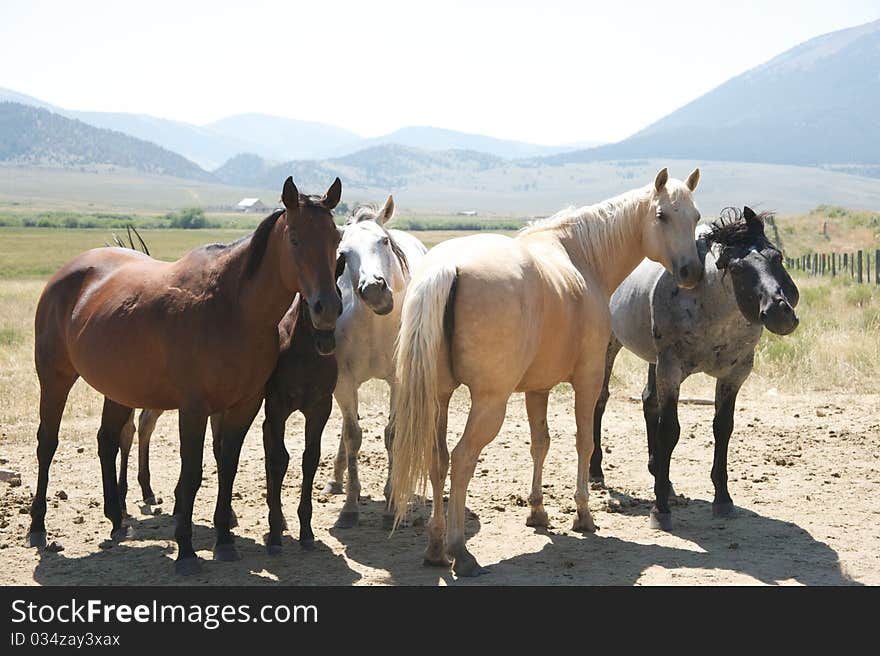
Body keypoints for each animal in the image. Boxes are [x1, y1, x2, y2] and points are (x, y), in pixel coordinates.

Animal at [27, 176, 344, 576]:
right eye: (295, 239)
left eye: (336, 238)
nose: (327, 308)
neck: (231, 308)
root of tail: (68, 273)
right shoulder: (194, 409)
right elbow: (191, 474)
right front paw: (187, 552)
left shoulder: (244, 407)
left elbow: (227, 467)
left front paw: (224, 540)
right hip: (54, 378)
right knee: (47, 444)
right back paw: (38, 528)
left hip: (118, 388)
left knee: (107, 440)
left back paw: (118, 520)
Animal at [322, 197, 428, 532]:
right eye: (343, 254)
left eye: (383, 241)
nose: (374, 290)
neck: (374, 324)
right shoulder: (342, 382)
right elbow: (353, 435)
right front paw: (350, 507)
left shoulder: (399, 382)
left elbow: (392, 435)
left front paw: (392, 504)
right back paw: (336, 479)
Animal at [392, 168, 700, 576]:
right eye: (662, 215)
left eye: (695, 217)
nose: (691, 272)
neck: (581, 258)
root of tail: (448, 267)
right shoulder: (588, 381)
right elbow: (584, 442)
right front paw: (583, 515)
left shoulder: (537, 390)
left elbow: (540, 443)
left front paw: (537, 511)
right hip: (489, 405)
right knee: (461, 460)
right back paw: (461, 551)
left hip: (439, 398)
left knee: (438, 459)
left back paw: (436, 549)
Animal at [588, 208, 800, 532]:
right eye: (736, 268)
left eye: (777, 257)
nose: (779, 312)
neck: (711, 310)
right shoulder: (671, 370)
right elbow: (670, 431)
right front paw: (660, 509)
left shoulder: (733, 375)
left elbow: (722, 428)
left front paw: (722, 499)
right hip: (610, 348)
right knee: (600, 400)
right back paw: (596, 471)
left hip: (653, 360)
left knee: (648, 401)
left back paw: (660, 475)